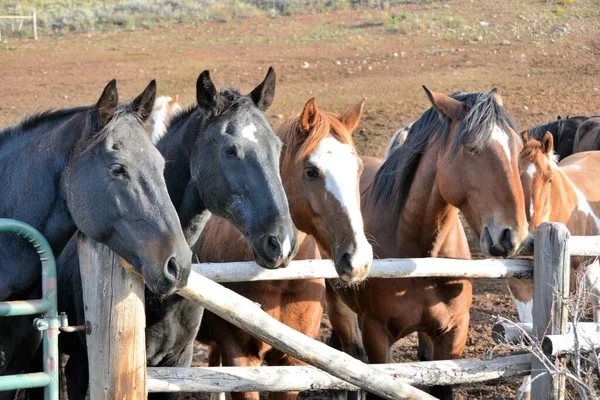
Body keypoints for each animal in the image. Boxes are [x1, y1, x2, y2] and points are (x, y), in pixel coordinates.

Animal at [196, 97, 376, 400]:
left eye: (359, 168)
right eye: (311, 171)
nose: (358, 260)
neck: (279, 281)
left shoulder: (292, 363)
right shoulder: (241, 358)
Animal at [326, 86, 528, 398]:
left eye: (518, 149)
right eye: (471, 148)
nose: (512, 234)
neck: (418, 258)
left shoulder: (453, 334)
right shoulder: (378, 336)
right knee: (348, 352)